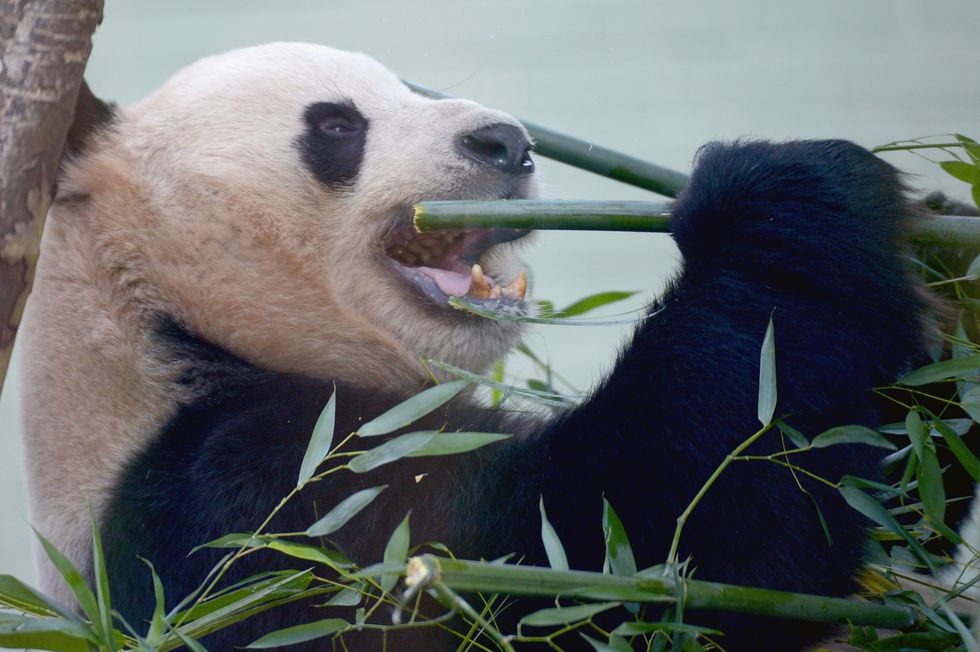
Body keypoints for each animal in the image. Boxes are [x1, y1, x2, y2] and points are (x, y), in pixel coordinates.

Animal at [19, 43, 932, 648]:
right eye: (337, 125)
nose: (507, 143)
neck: (154, 318)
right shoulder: (256, 512)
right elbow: (630, 548)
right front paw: (784, 200)